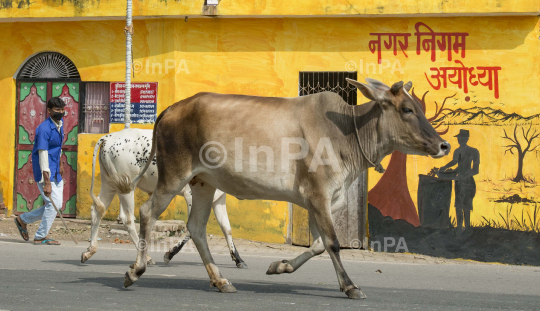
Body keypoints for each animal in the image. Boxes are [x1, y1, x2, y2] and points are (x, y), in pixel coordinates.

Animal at [80, 128, 247, 270]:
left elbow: (226, 228)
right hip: (127, 186)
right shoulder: (191, 196)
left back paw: (89, 251)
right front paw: (169, 254)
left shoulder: (219, 199)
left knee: (97, 210)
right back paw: (146, 257)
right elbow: (190, 230)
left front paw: (238, 259)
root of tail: (109, 137)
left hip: (110, 183)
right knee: (127, 218)